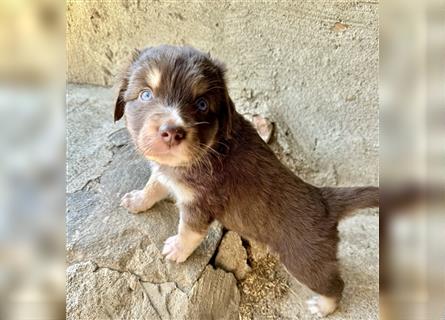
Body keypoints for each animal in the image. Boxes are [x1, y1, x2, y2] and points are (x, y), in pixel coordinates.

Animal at [114, 45, 378, 318]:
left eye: (202, 104)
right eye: (145, 94)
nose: (171, 132)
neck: (209, 148)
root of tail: (325, 200)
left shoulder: (200, 203)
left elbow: (188, 231)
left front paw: (177, 249)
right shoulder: (164, 173)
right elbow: (153, 186)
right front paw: (137, 200)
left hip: (304, 260)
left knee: (334, 284)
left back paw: (324, 306)